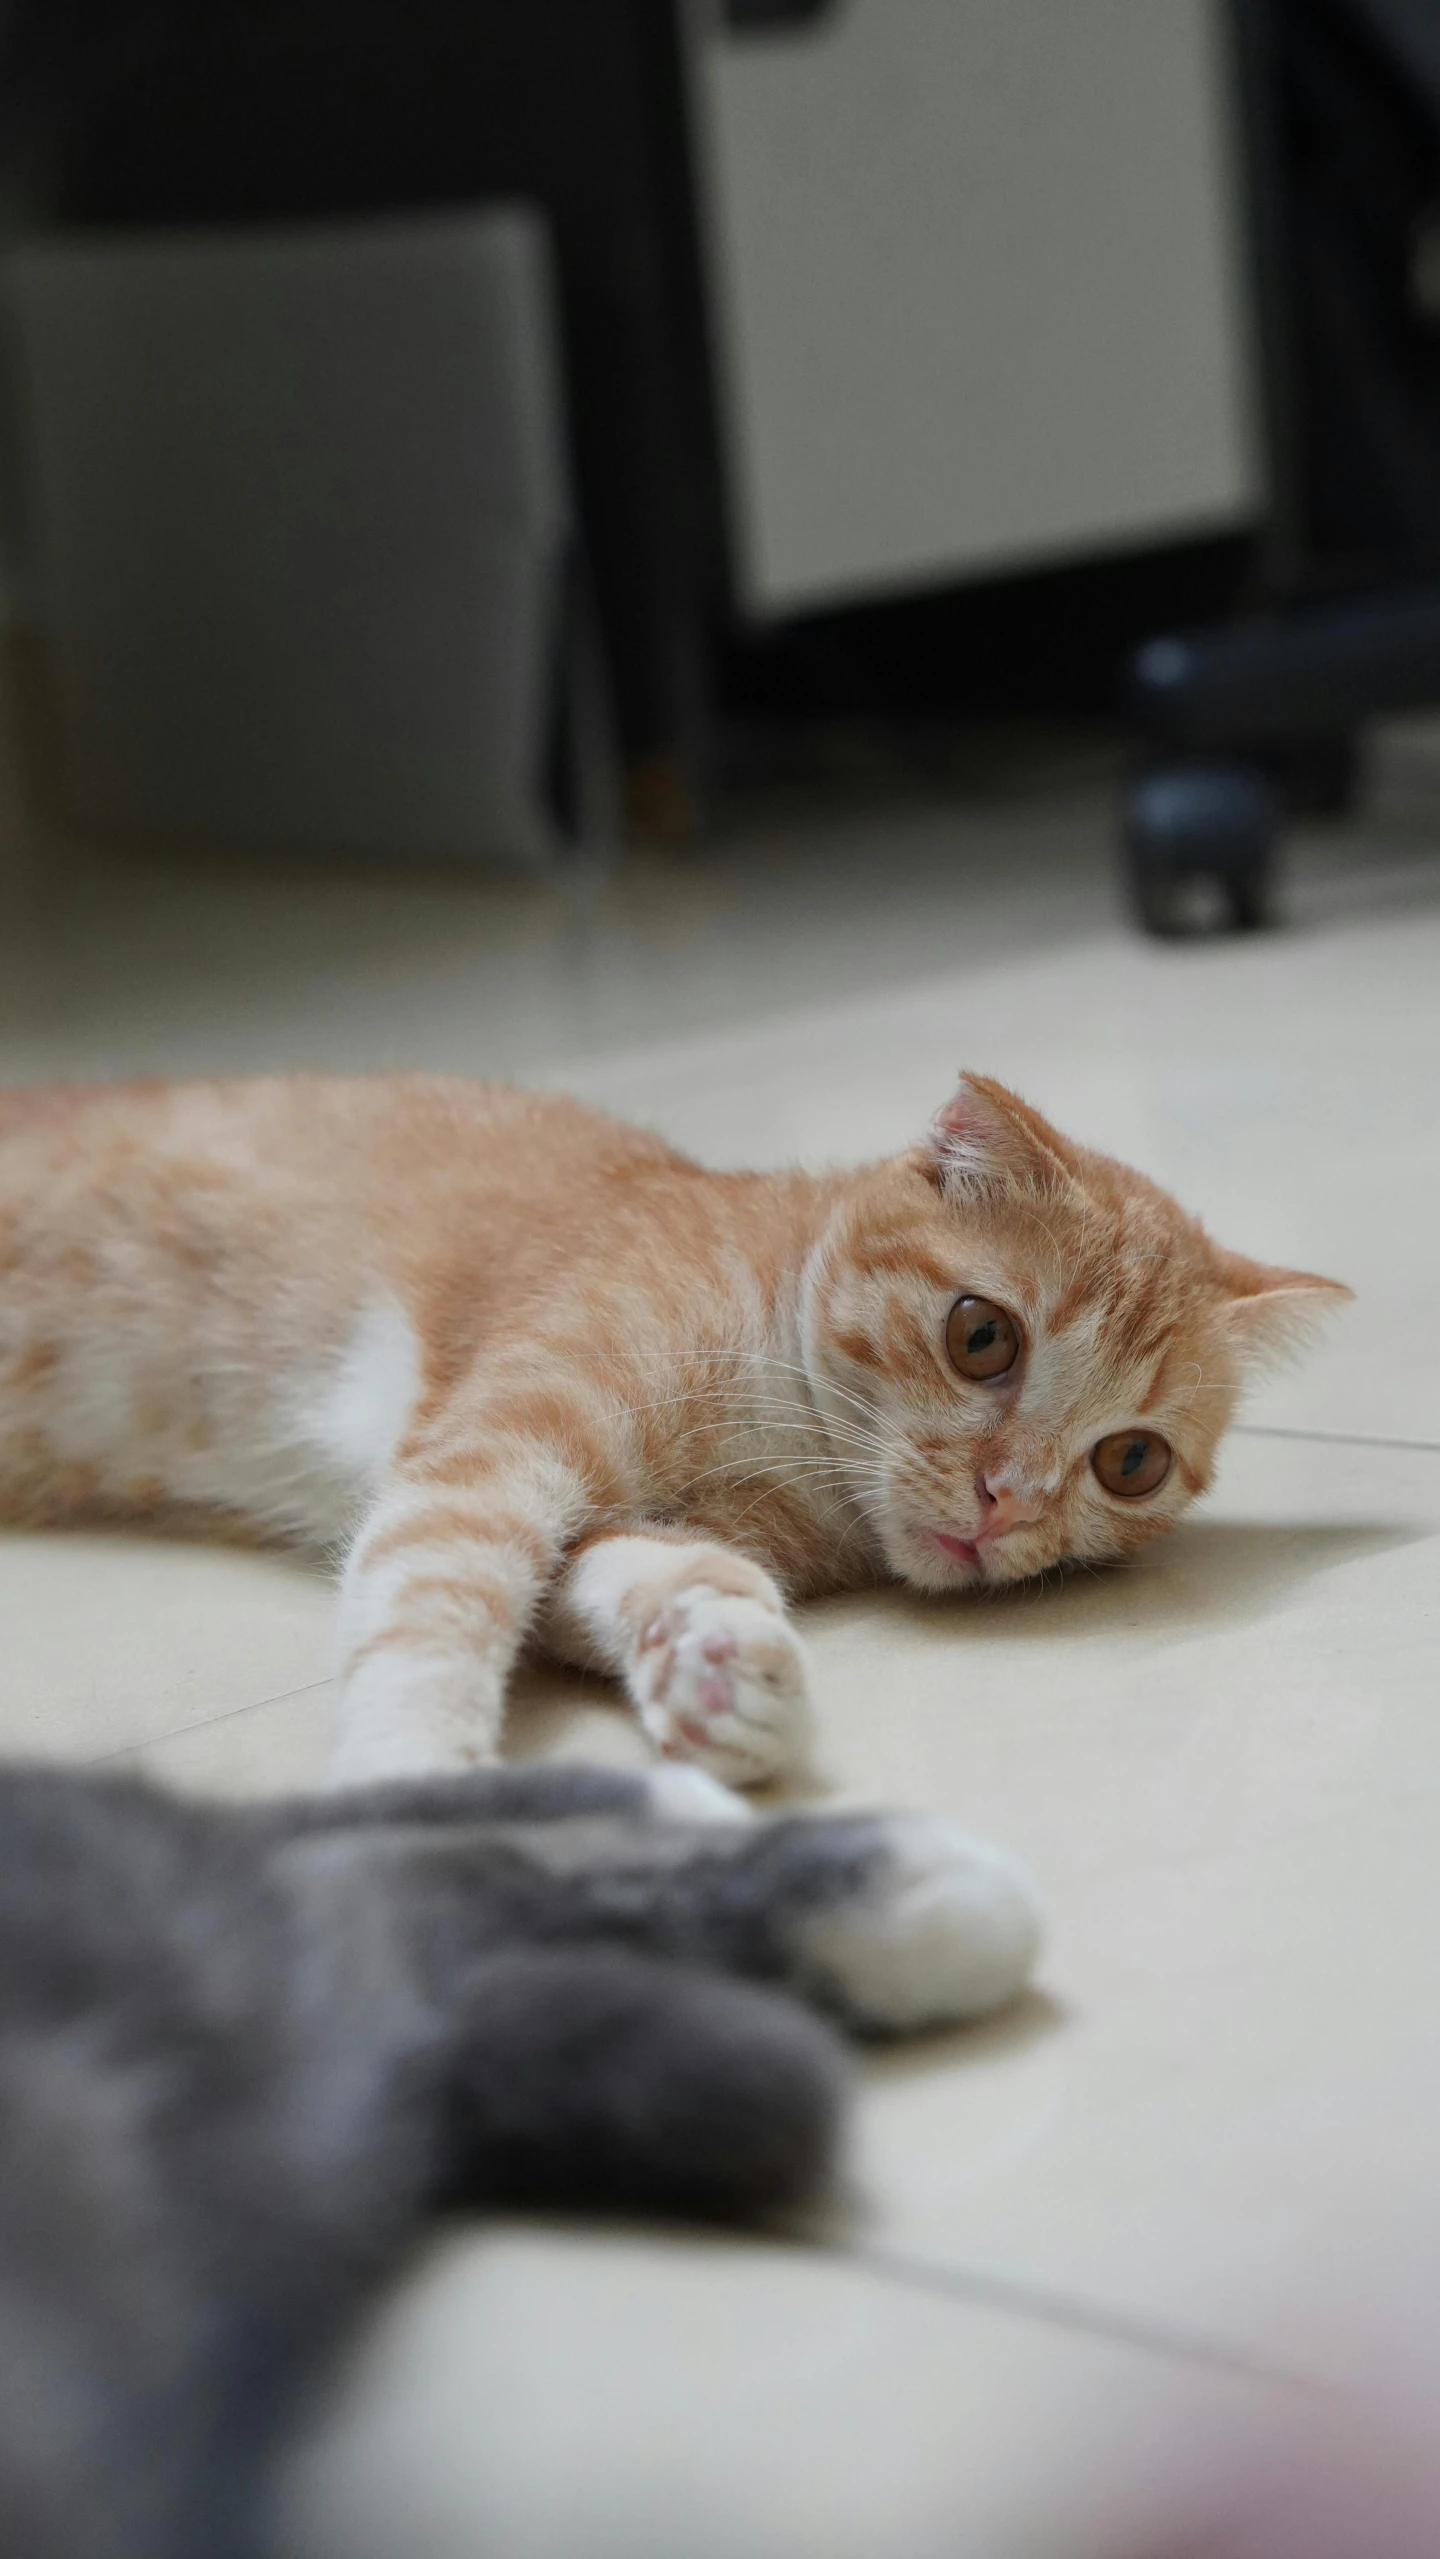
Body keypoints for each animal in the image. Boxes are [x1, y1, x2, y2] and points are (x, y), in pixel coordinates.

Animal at [0, 1069, 1350, 1791]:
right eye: (983, 1337)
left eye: (1131, 1461)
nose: (1006, 1500)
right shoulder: (490, 1452)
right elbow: (440, 1606)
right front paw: (412, 1784)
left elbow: (591, 1576)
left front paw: (705, 1651)